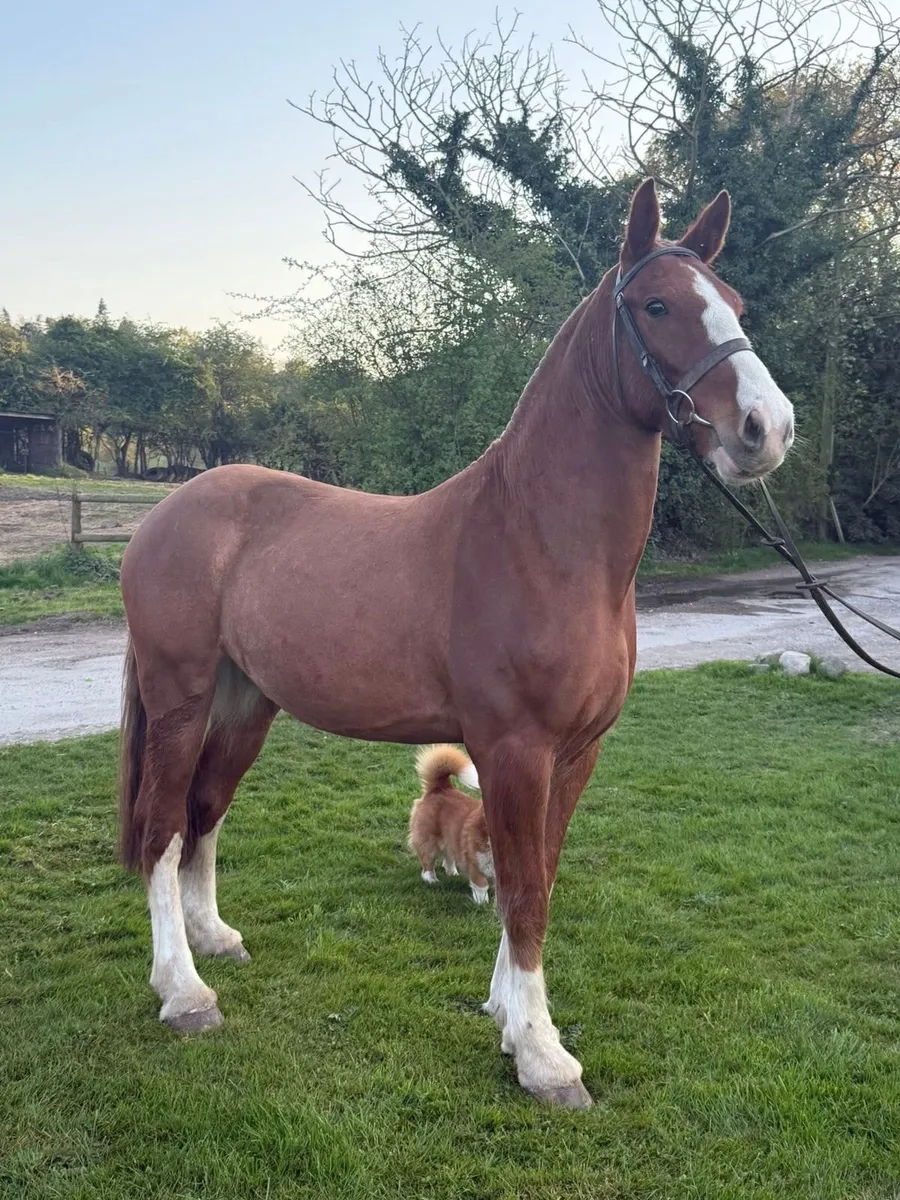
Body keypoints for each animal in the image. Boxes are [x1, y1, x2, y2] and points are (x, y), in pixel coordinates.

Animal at [118, 179, 794, 1108]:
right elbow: (523, 892)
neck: (540, 541)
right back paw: (183, 991)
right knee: (159, 829)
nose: (768, 428)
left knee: (202, 814)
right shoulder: (514, 749)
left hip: (244, 705)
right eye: (658, 306)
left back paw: (213, 939)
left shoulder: (576, 755)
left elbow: (535, 878)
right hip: (180, 698)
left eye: (735, 304)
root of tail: (166, 512)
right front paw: (545, 1058)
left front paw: (509, 1020)